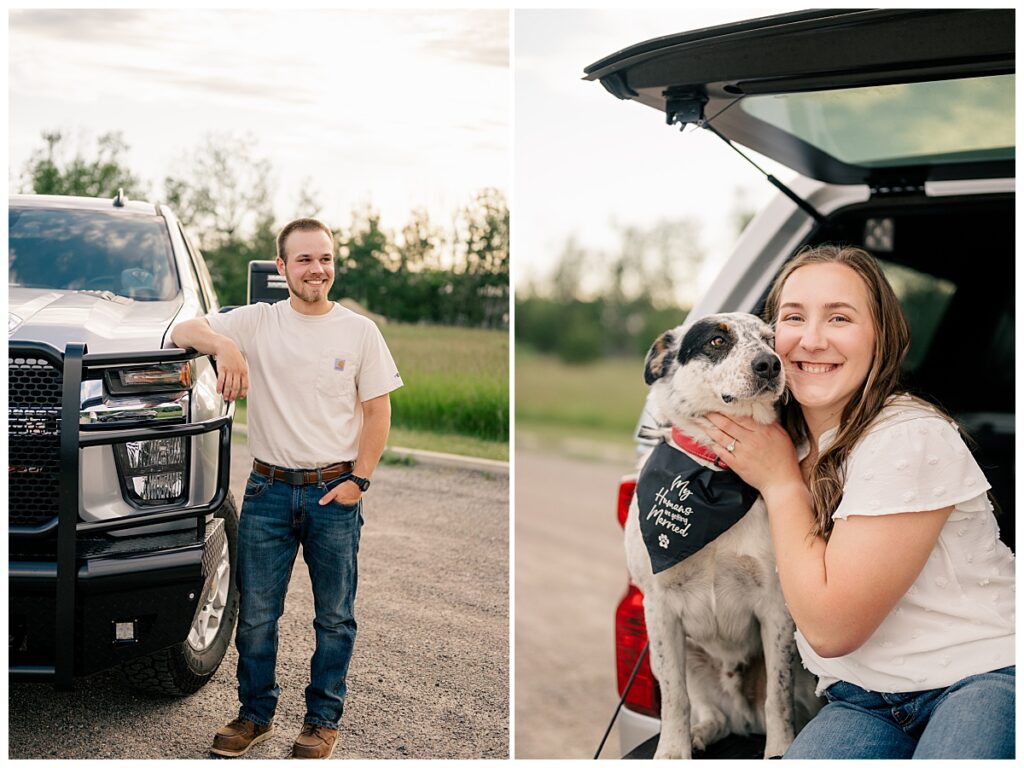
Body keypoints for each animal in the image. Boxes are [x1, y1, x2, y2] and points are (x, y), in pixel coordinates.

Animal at [618, 315, 819, 761]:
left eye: (770, 340)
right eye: (716, 341)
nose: (770, 364)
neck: (712, 477)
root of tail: (744, 718)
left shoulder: (776, 607)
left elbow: (778, 697)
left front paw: (780, 749)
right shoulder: (660, 609)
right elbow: (674, 697)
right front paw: (673, 751)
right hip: (687, 655)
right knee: (714, 714)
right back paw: (702, 731)